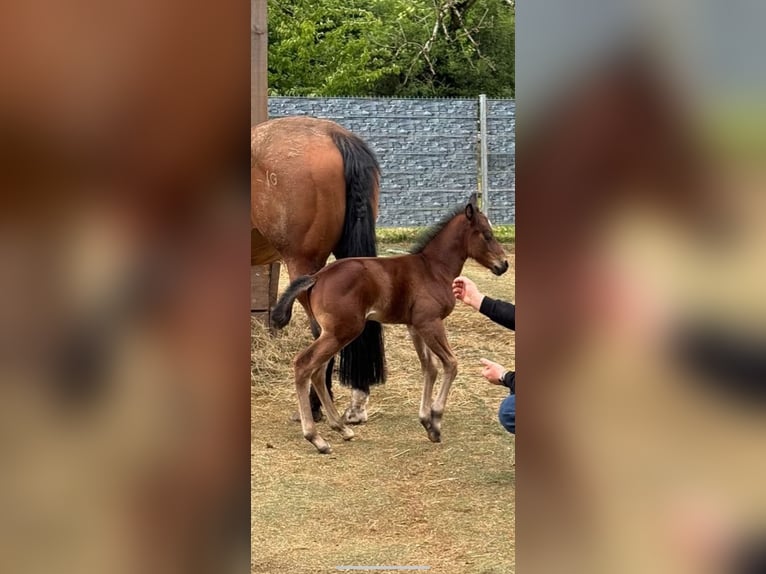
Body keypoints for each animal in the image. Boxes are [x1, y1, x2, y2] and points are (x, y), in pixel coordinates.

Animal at [271, 194, 509, 454]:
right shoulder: (430, 323)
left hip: (333, 334)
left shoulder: (415, 326)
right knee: (304, 365)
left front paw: (427, 422)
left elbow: (430, 367)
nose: (504, 264)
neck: (434, 269)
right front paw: (436, 419)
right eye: (487, 234)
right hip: (342, 332)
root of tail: (317, 277)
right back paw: (316, 438)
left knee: (317, 371)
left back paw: (341, 429)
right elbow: (450, 364)